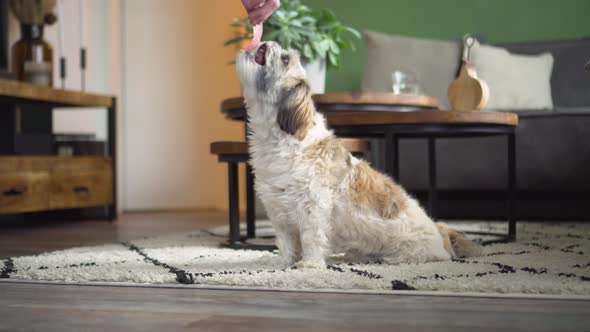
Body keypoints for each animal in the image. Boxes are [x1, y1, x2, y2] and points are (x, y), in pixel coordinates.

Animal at [236, 42, 480, 270]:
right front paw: (284, 262)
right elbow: (286, 242)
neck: (283, 139)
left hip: (408, 250)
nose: (266, 43)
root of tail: (439, 234)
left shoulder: (312, 209)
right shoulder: (278, 210)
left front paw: (310, 264)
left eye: (285, 59)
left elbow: (312, 238)